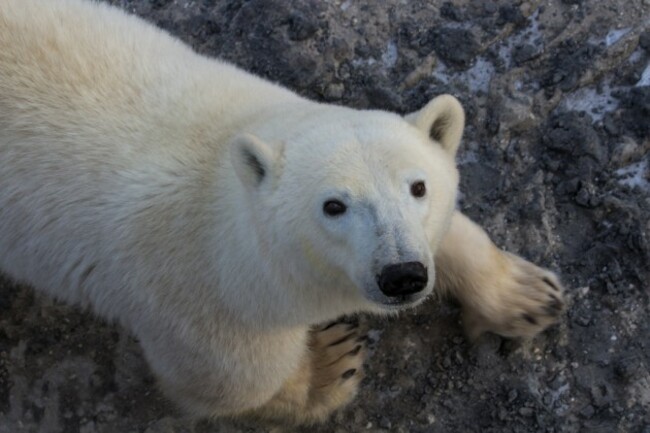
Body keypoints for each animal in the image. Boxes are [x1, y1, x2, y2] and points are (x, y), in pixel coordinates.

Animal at [0, 0, 560, 426]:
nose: (402, 275)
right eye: (334, 206)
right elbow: (231, 381)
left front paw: (529, 296)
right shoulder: (189, 298)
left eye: (418, 187)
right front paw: (331, 364)